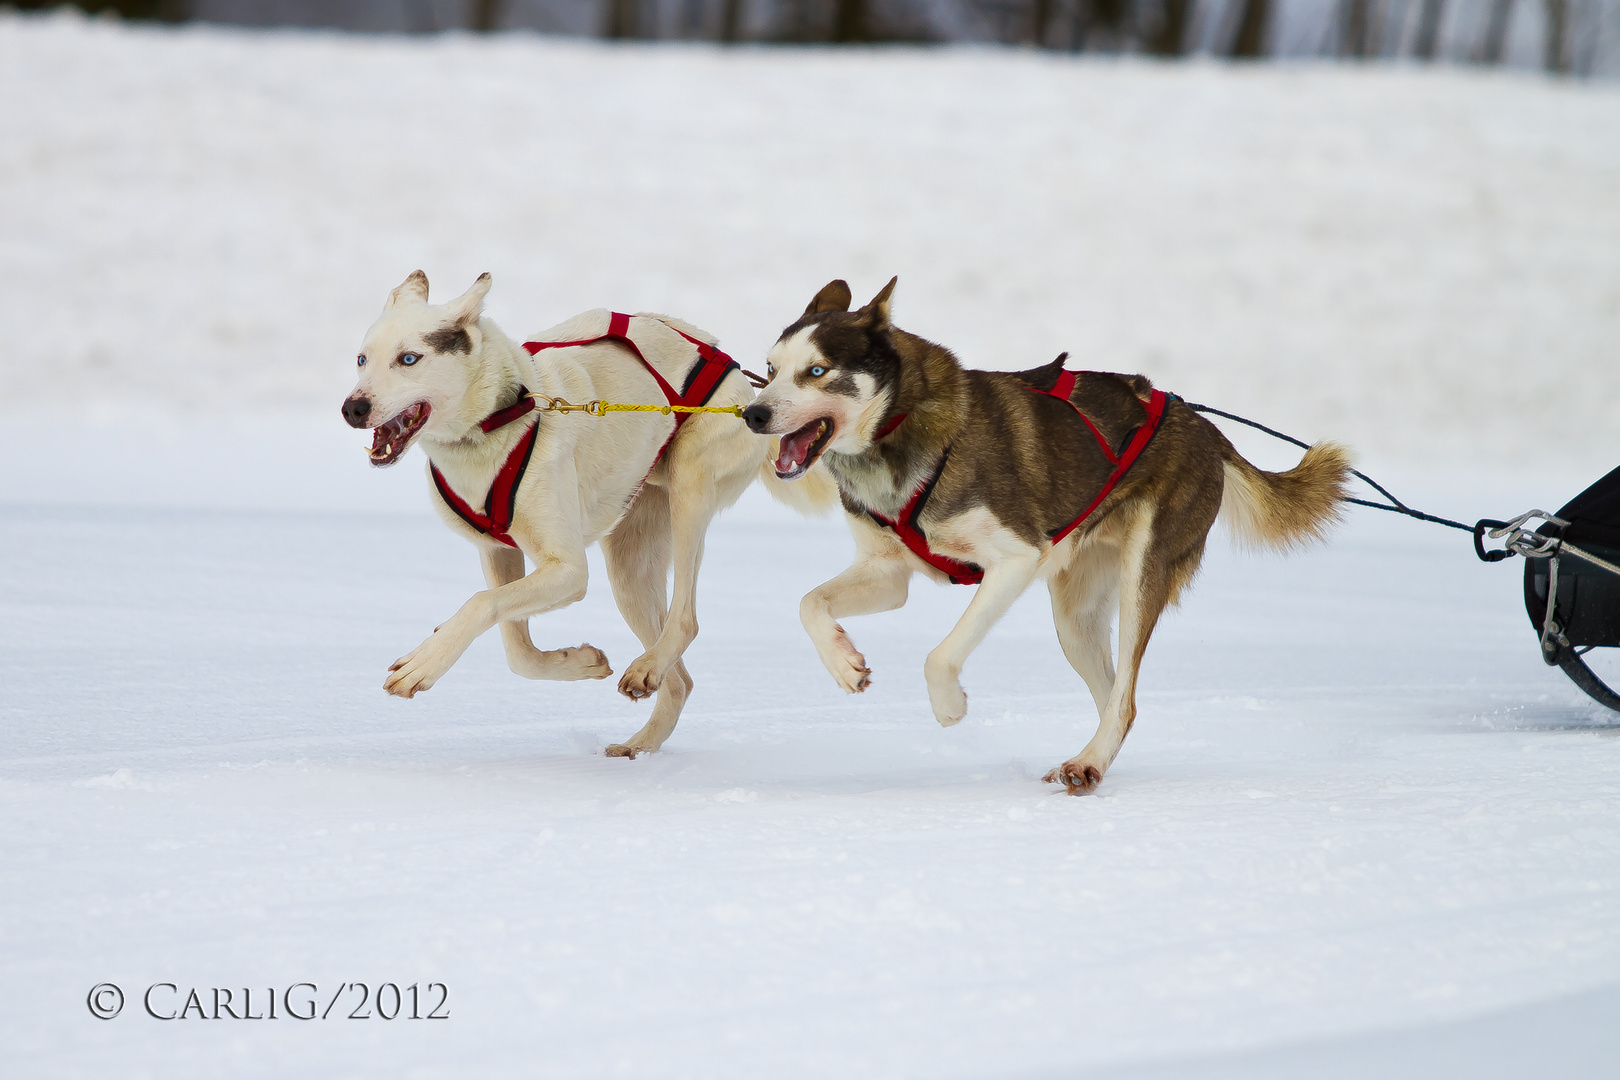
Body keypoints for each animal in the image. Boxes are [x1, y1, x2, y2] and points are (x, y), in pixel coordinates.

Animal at [336, 275, 829, 757]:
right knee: (682, 681)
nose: (352, 408)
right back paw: (642, 738)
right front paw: (578, 662)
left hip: (689, 492)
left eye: (409, 359)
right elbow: (515, 647)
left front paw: (423, 663)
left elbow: (480, 603)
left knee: (685, 617)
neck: (504, 415)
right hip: (630, 568)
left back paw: (649, 669)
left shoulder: (569, 570)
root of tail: (735, 371)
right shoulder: (497, 552)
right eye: (361, 359)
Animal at [741, 281, 1347, 793]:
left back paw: (1088, 759)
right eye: (770, 369)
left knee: (1125, 698)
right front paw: (843, 662)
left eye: (817, 370)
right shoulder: (888, 573)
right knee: (1116, 699)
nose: (753, 413)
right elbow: (808, 603)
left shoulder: (1014, 560)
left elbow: (940, 655)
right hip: (1074, 619)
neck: (901, 430)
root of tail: (1200, 424)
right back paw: (1092, 762)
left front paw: (949, 706)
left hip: (1141, 575)